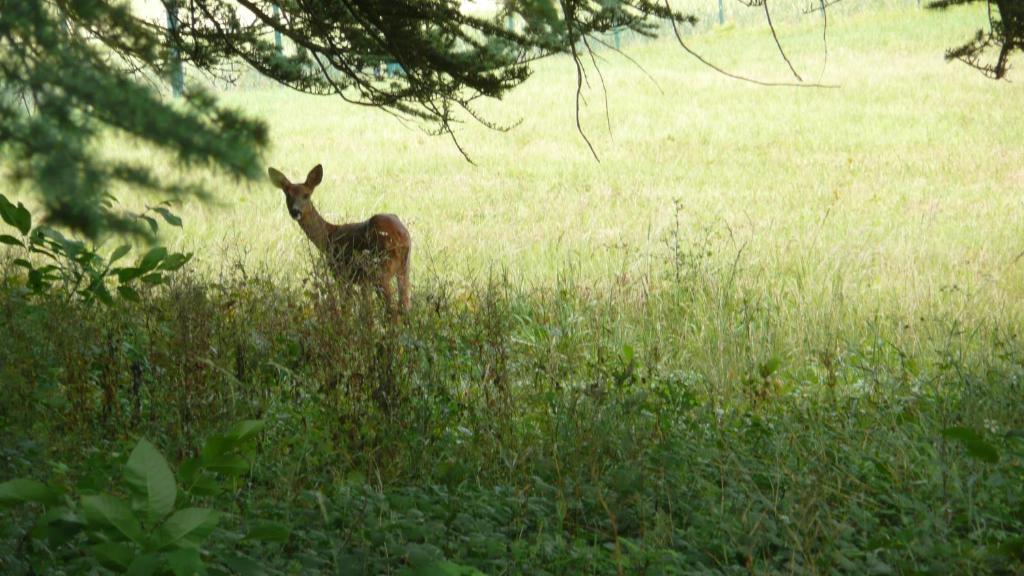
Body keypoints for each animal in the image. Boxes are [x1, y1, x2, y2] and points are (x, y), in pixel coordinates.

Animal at [268, 161, 411, 313]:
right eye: (287, 196)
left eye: (306, 195)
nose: (295, 212)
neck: (329, 236)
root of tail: (402, 237)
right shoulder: (363, 282)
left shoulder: (341, 273)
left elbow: (345, 306)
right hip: (404, 267)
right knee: (405, 305)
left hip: (381, 268)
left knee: (393, 309)